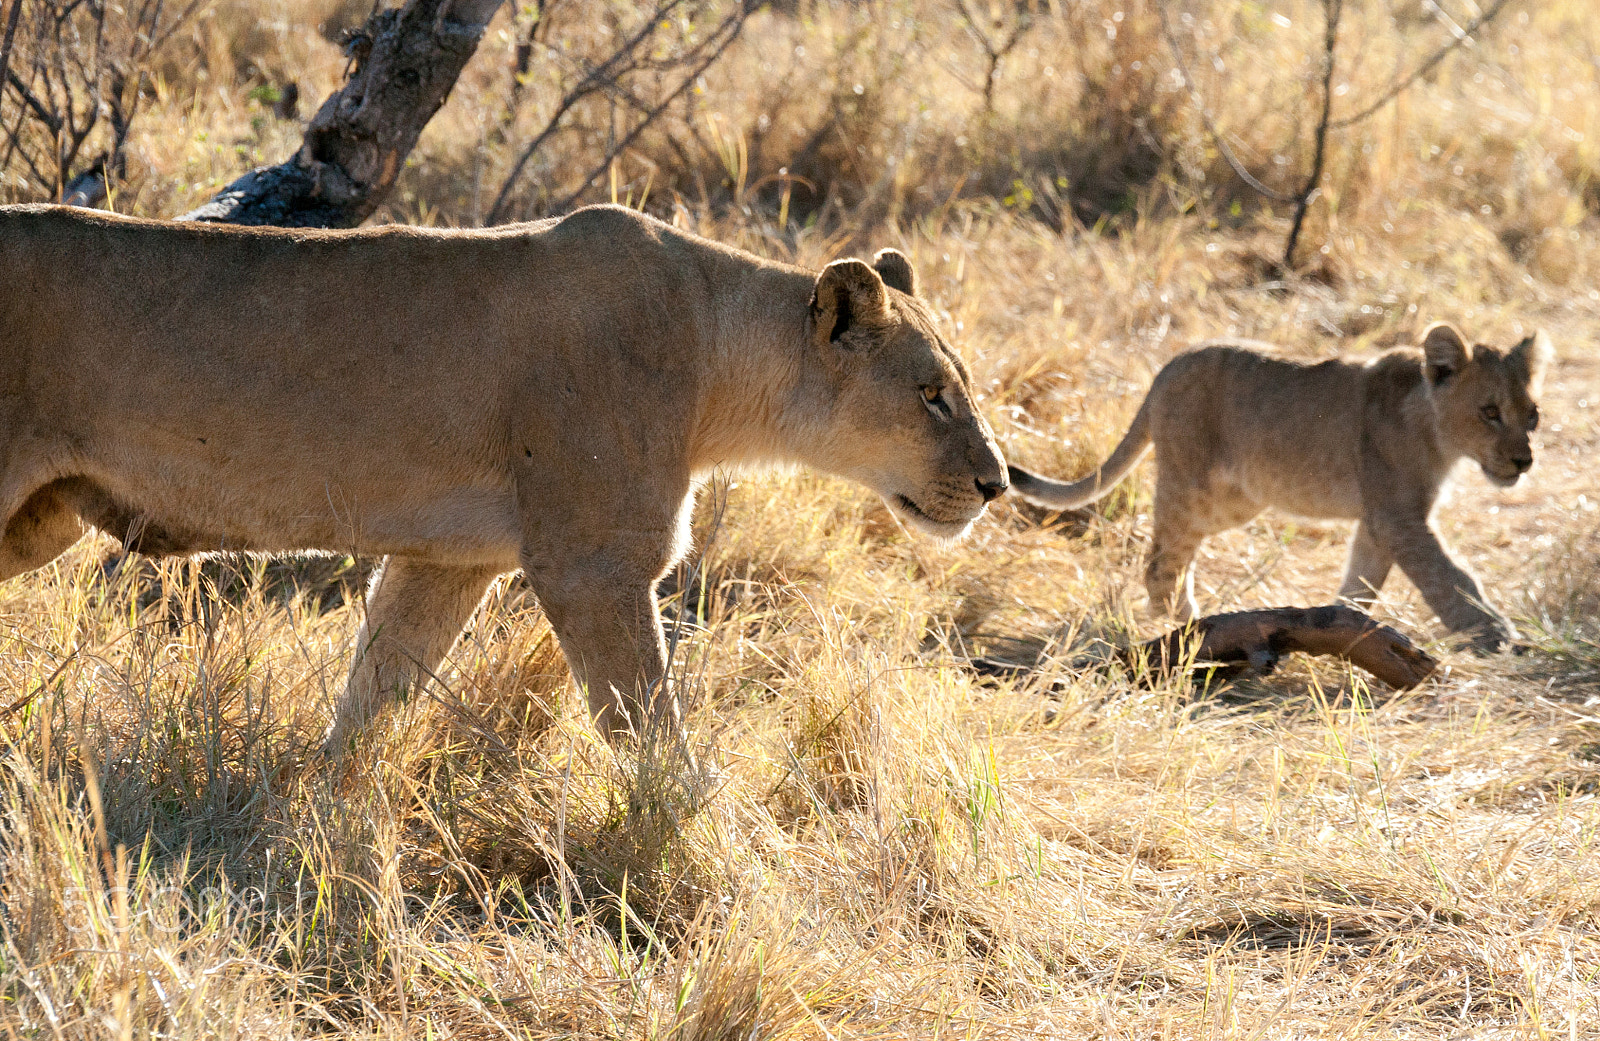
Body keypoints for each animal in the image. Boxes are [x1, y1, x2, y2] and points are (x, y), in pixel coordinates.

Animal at [0, 203, 1008, 749]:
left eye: (958, 385)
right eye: (932, 395)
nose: (998, 484)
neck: (718, 360)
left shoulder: (450, 559)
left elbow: (374, 694)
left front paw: (321, 811)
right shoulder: (594, 565)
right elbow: (653, 739)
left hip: (40, 521)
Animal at [1008, 323, 1552, 651]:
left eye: (1532, 415)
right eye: (1489, 412)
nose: (1523, 461)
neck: (1436, 431)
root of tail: (1169, 365)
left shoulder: (1379, 522)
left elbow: (1361, 581)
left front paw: (1345, 627)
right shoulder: (1398, 518)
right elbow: (1450, 576)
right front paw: (1496, 635)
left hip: (1236, 502)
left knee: (1174, 553)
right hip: (1193, 487)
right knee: (1162, 558)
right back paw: (1181, 626)